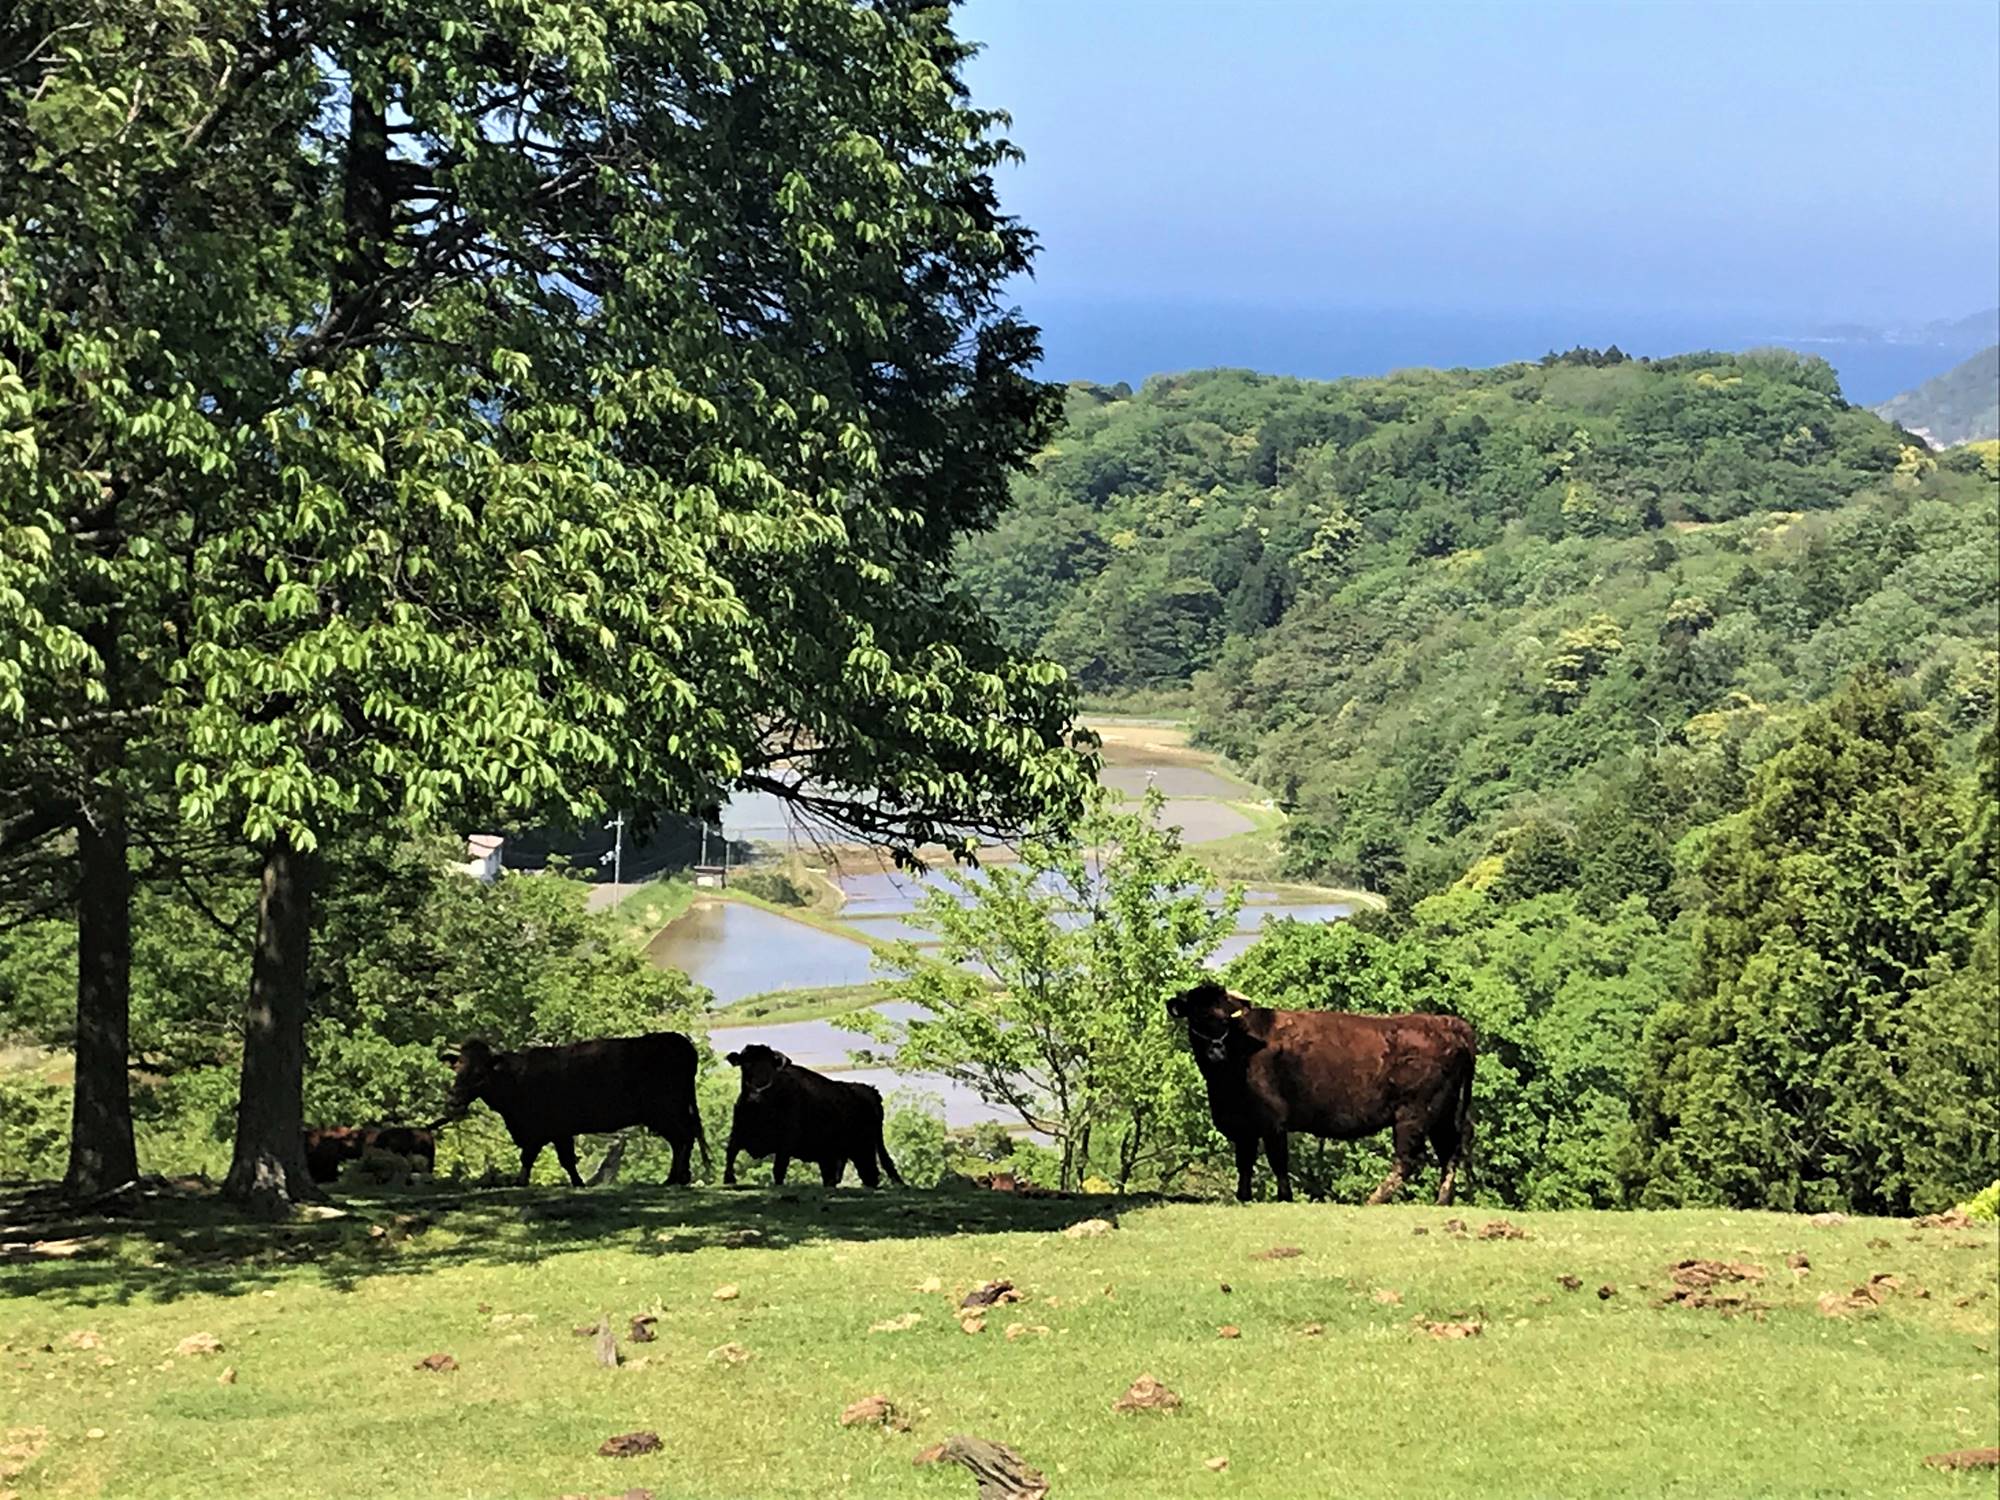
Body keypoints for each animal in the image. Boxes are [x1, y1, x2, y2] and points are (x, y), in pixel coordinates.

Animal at [442, 1032, 708, 1184]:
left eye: (479, 1074)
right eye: (457, 1068)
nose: (454, 1100)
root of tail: (681, 1043)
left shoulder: (551, 1129)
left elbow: (556, 1159)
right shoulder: (543, 1131)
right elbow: (544, 1159)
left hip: (665, 1109)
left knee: (683, 1138)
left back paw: (676, 1178)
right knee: (682, 1139)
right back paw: (678, 1177)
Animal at [724, 1048, 904, 1192]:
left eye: (770, 1066)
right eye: (745, 1063)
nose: (758, 1090)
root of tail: (870, 1091)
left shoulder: (785, 1145)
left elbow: (778, 1169)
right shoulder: (737, 1133)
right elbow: (730, 1154)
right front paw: (729, 1180)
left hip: (862, 1150)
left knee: (870, 1173)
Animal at [1168, 988, 1480, 1208]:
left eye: (1224, 1018)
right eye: (1196, 1016)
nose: (1215, 1052)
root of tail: (1447, 1022)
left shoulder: (1272, 1122)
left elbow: (1277, 1160)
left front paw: (1284, 1197)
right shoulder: (1243, 1126)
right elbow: (1244, 1162)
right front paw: (1243, 1196)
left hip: (1415, 1114)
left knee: (1410, 1158)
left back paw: (1373, 1199)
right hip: (1442, 1113)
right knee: (1449, 1151)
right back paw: (1442, 1200)